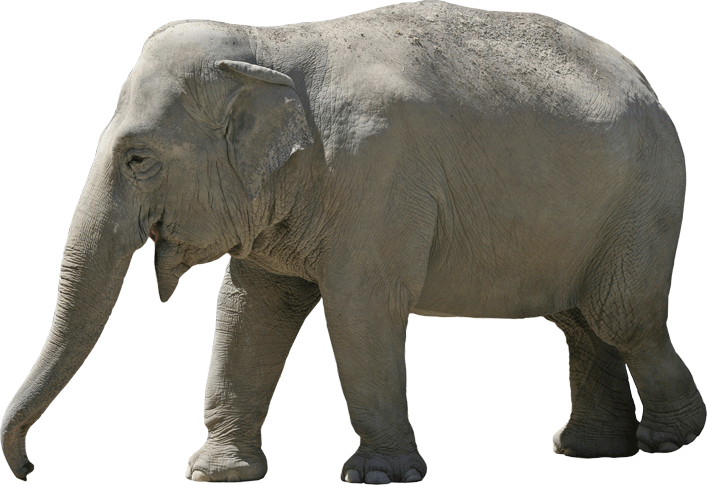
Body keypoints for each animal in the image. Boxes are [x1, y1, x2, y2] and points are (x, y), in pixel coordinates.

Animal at [2, 0, 705, 482]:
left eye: (138, 159)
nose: (32, 468)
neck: (270, 43)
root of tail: (650, 85)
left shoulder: (379, 176)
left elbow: (360, 309)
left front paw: (377, 476)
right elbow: (249, 309)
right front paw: (216, 473)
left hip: (647, 199)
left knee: (622, 316)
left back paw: (667, 441)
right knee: (580, 320)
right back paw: (589, 451)